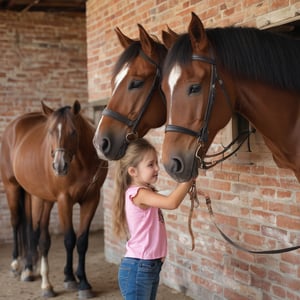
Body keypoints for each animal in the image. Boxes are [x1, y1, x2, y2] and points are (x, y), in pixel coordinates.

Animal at [0, 101, 108, 298]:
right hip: (12, 187)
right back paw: (17, 264)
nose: (59, 166)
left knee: (31, 228)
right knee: (17, 222)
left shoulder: (92, 199)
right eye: (50, 132)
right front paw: (70, 279)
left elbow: (82, 241)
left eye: (73, 132)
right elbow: (69, 239)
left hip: (35, 195)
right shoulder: (64, 200)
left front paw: (82, 282)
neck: (81, 162)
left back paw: (30, 266)